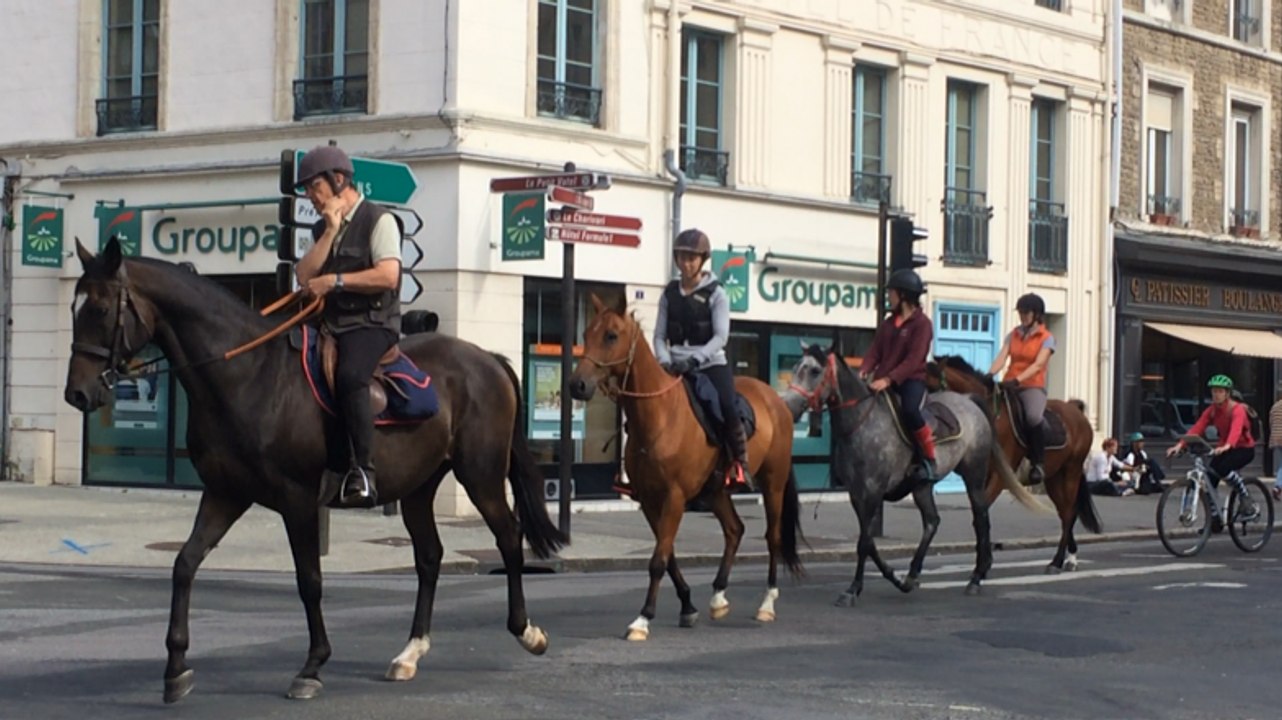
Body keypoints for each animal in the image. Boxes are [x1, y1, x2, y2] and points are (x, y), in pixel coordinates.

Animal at [63, 238, 567, 702]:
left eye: (102, 308)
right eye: (73, 307)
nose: (77, 394)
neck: (248, 375)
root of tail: (487, 359)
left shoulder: (298, 499)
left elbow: (309, 581)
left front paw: (312, 666)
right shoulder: (225, 494)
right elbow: (185, 564)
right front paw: (176, 668)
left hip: (480, 474)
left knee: (509, 536)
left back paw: (527, 631)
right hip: (419, 486)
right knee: (429, 556)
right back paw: (409, 653)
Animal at [567, 295, 803, 641]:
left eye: (611, 335)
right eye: (585, 334)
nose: (578, 385)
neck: (660, 416)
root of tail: (777, 400)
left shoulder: (674, 498)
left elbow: (658, 560)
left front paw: (643, 619)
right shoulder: (650, 501)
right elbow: (667, 556)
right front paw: (688, 606)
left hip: (773, 484)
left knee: (772, 537)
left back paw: (767, 604)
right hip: (717, 491)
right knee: (735, 530)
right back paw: (718, 597)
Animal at [783, 344, 1037, 602]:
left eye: (815, 371)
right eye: (796, 367)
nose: (790, 407)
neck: (862, 423)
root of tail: (969, 401)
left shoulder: (873, 491)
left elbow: (864, 542)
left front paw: (853, 589)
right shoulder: (857, 494)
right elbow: (869, 541)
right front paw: (893, 576)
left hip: (974, 473)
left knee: (980, 517)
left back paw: (976, 576)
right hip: (922, 486)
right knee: (932, 521)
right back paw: (912, 575)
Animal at [925, 355, 1100, 572]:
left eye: (931, 388)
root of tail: (1076, 410)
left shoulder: (999, 478)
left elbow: (980, 514)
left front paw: (983, 565)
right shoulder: (980, 477)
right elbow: (980, 514)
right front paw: (984, 562)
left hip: (1071, 471)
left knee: (1069, 513)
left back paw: (1058, 561)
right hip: (1053, 478)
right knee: (1064, 512)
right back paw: (1069, 557)